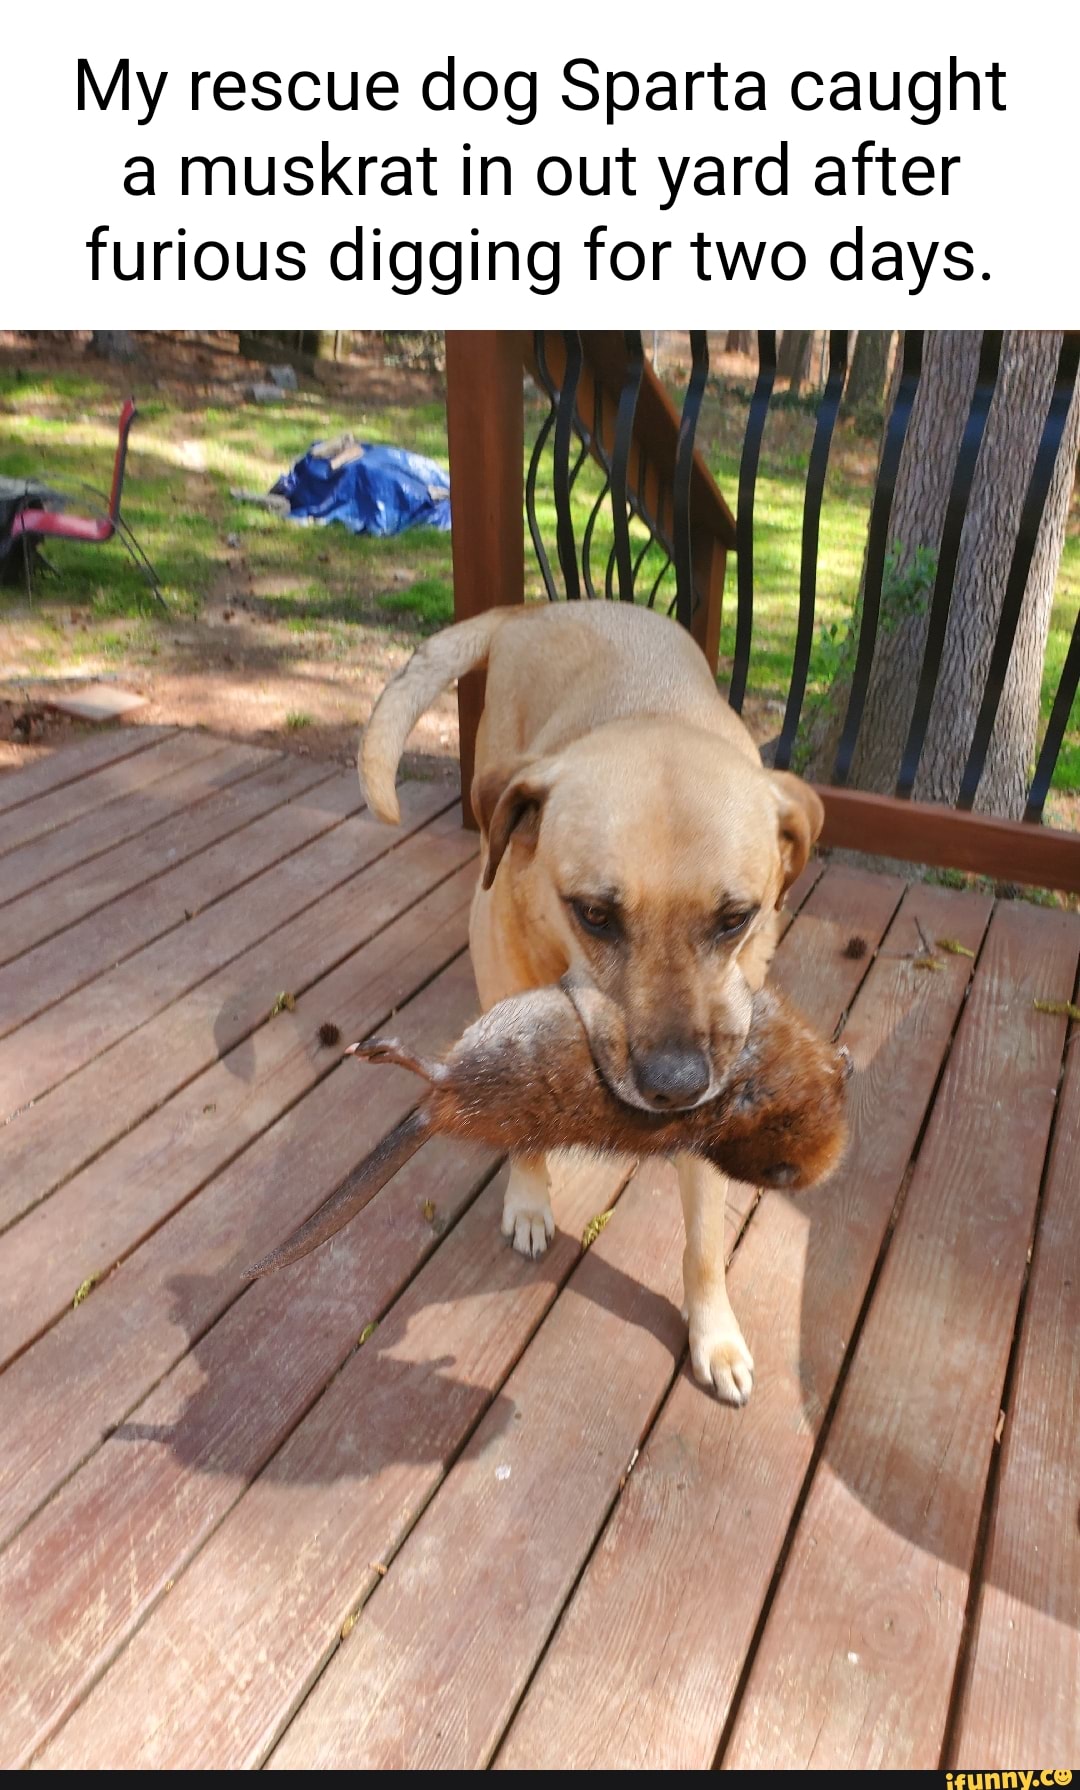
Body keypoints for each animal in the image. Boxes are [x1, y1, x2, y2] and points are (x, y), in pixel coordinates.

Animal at [360, 594, 823, 1403]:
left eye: (736, 917)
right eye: (596, 914)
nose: (675, 1086)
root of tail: (536, 606)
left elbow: (705, 1241)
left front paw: (715, 1336)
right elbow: (517, 1126)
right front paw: (528, 1200)